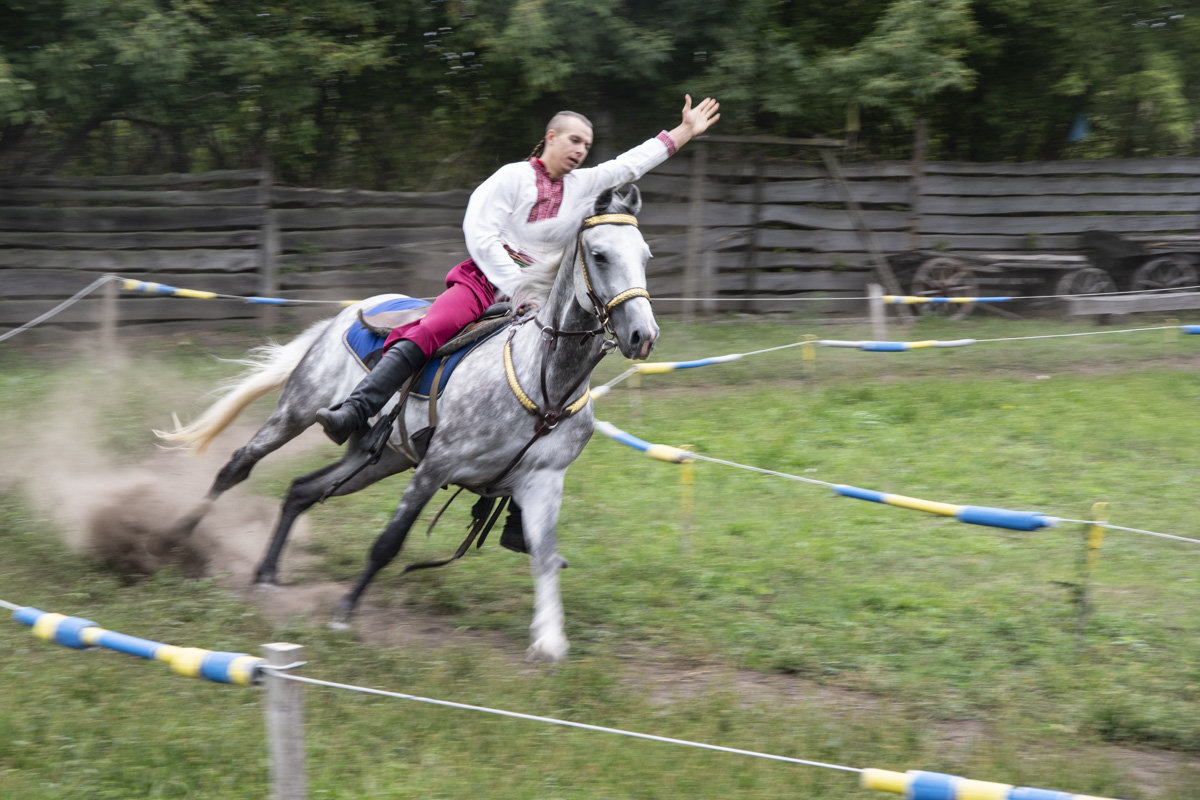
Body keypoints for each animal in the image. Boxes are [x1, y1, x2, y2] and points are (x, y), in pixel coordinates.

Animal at [159, 188, 657, 662]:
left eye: (645, 255)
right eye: (599, 255)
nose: (643, 336)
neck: (545, 384)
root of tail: (348, 313)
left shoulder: (542, 482)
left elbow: (545, 555)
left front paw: (550, 640)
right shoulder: (436, 466)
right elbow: (389, 542)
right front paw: (344, 614)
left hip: (379, 458)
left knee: (302, 490)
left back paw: (266, 572)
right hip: (297, 412)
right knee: (238, 465)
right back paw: (179, 538)